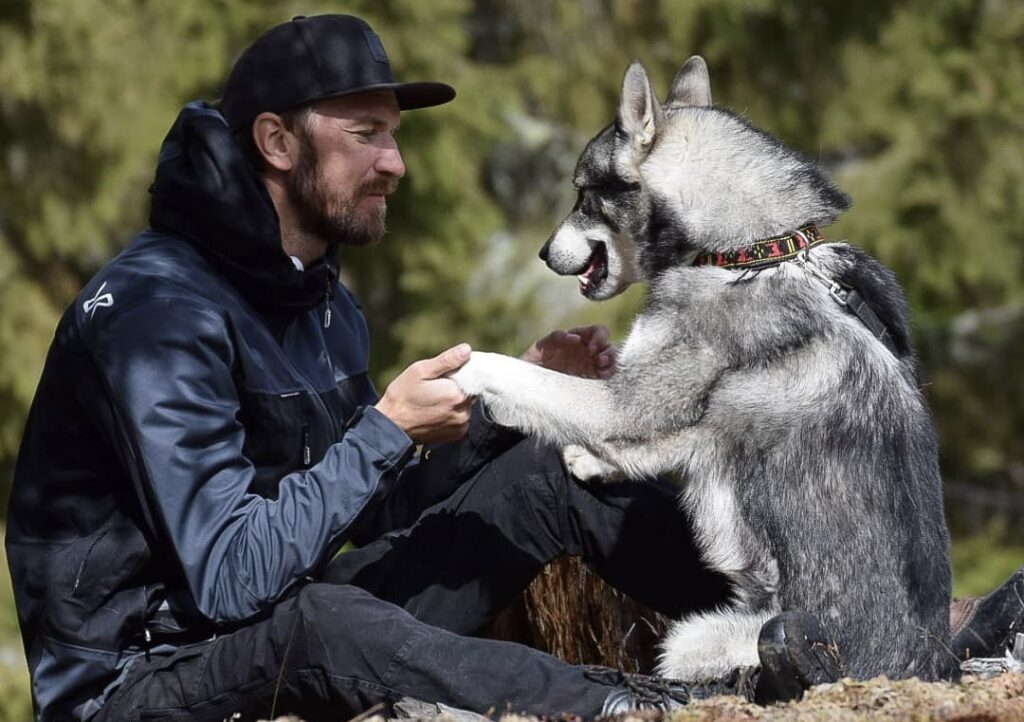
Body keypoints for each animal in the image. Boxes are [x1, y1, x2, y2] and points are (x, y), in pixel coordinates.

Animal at [452, 56, 954, 680]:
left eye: (584, 196)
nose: (543, 254)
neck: (750, 253)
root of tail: (926, 662)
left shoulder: (631, 404)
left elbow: (520, 375)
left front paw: (460, 371)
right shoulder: (667, 414)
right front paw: (592, 460)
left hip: (703, 637)